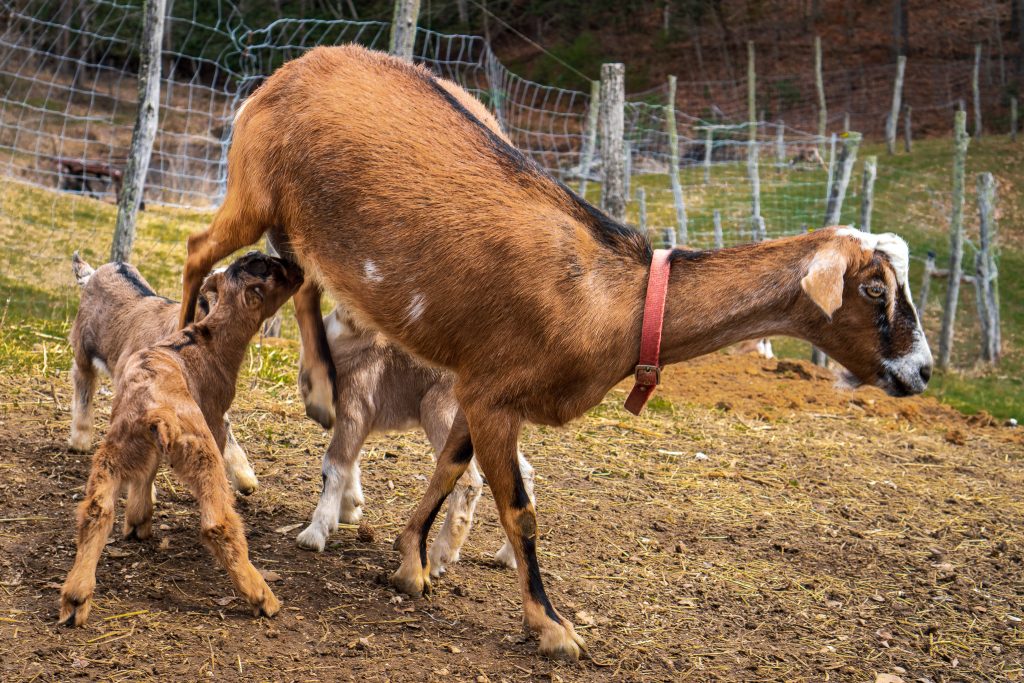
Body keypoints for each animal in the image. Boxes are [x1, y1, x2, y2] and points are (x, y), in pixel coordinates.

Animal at [68, 253, 259, 495]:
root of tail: (96, 272)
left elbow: (224, 426)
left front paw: (245, 479)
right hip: (83, 345)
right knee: (83, 379)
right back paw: (80, 440)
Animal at [294, 300, 534, 575]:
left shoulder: (354, 409)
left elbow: (334, 464)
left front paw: (313, 535)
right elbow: (351, 461)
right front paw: (350, 508)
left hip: (441, 415)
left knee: (468, 482)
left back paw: (438, 558)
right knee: (523, 476)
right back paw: (507, 557)